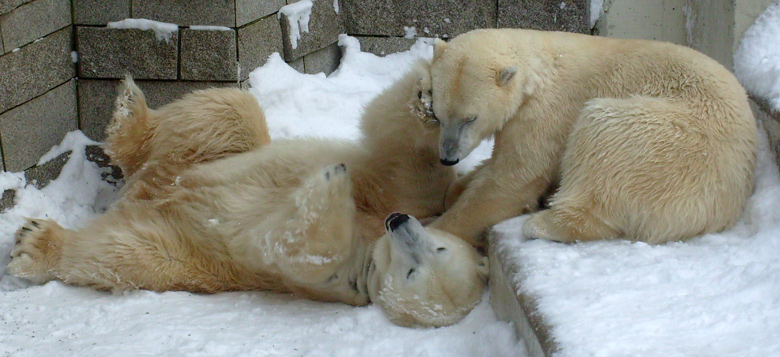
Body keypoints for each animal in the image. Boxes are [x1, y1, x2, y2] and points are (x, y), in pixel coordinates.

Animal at [7, 59, 488, 326]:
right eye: (440, 247)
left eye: (414, 273)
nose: (399, 225)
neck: (376, 241)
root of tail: (141, 195)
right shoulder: (399, 198)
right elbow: (406, 166)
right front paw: (429, 97)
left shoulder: (342, 277)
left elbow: (300, 248)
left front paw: (327, 187)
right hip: (201, 159)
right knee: (227, 112)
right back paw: (130, 109)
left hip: (183, 249)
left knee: (121, 250)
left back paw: (36, 242)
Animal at [426, 28, 756, 245]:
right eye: (437, 114)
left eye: (470, 118)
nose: (447, 157)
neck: (538, 69)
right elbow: (496, 167)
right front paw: (455, 190)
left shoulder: (547, 111)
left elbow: (514, 179)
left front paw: (437, 231)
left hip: (666, 145)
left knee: (601, 134)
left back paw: (542, 223)